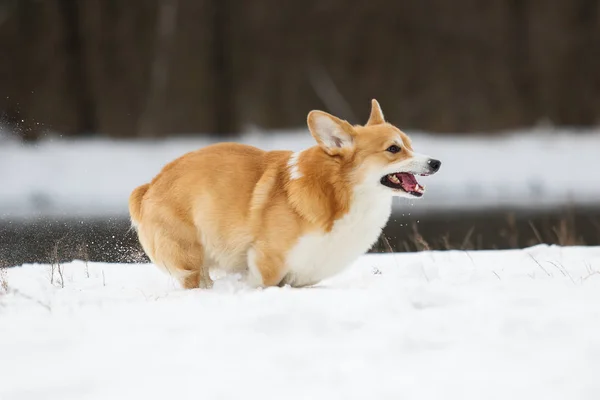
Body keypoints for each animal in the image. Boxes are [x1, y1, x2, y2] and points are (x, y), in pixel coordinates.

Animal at [129, 99, 440, 288]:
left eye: (409, 145)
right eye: (393, 149)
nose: (436, 162)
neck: (340, 191)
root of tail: (149, 186)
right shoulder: (267, 262)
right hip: (189, 259)